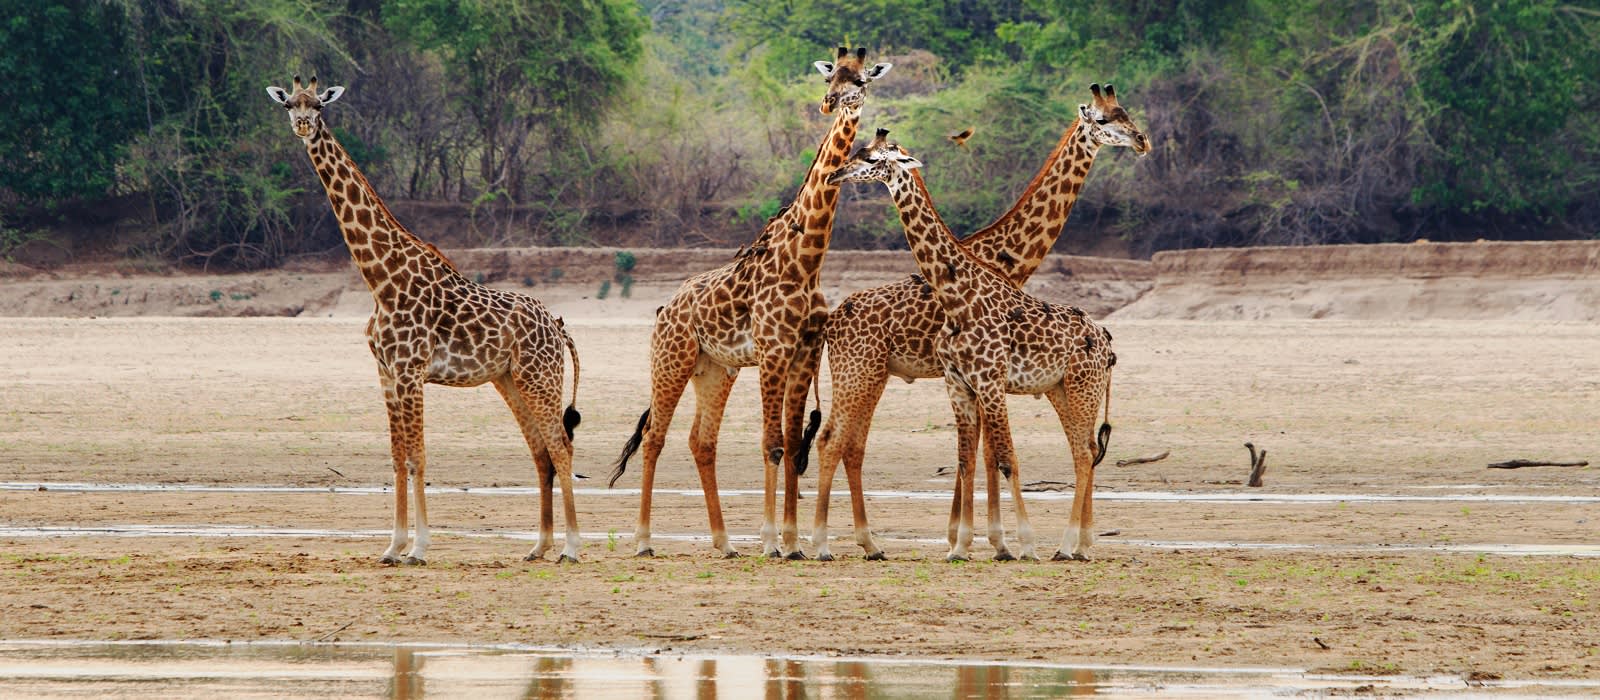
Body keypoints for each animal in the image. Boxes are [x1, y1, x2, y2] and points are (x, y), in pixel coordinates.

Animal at [267, 75, 583, 564]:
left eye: (318, 105)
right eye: (289, 104)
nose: (303, 125)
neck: (379, 278)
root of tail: (559, 326)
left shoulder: (411, 371)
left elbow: (418, 457)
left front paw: (418, 547)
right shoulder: (386, 372)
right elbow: (398, 458)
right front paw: (392, 546)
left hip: (540, 378)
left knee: (561, 447)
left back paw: (570, 547)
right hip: (510, 380)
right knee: (540, 451)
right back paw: (539, 546)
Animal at [605, 47, 892, 559]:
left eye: (860, 80)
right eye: (831, 77)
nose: (830, 103)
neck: (807, 257)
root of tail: (664, 309)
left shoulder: (804, 353)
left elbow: (793, 442)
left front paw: (794, 542)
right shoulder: (774, 350)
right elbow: (772, 443)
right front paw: (772, 541)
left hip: (715, 369)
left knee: (701, 441)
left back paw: (723, 542)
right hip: (671, 360)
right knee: (655, 436)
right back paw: (642, 541)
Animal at [811, 84, 1146, 560]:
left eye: (1122, 114)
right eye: (1103, 120)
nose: (1142, 141)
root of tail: (832, 321)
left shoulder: (984, 380)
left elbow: (987, 457)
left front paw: (990, 540)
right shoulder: (968, 379)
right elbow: (982, 456)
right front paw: (983, 540)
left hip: (879, 375)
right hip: (861, 372)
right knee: (833, 440)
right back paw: (816, 543)